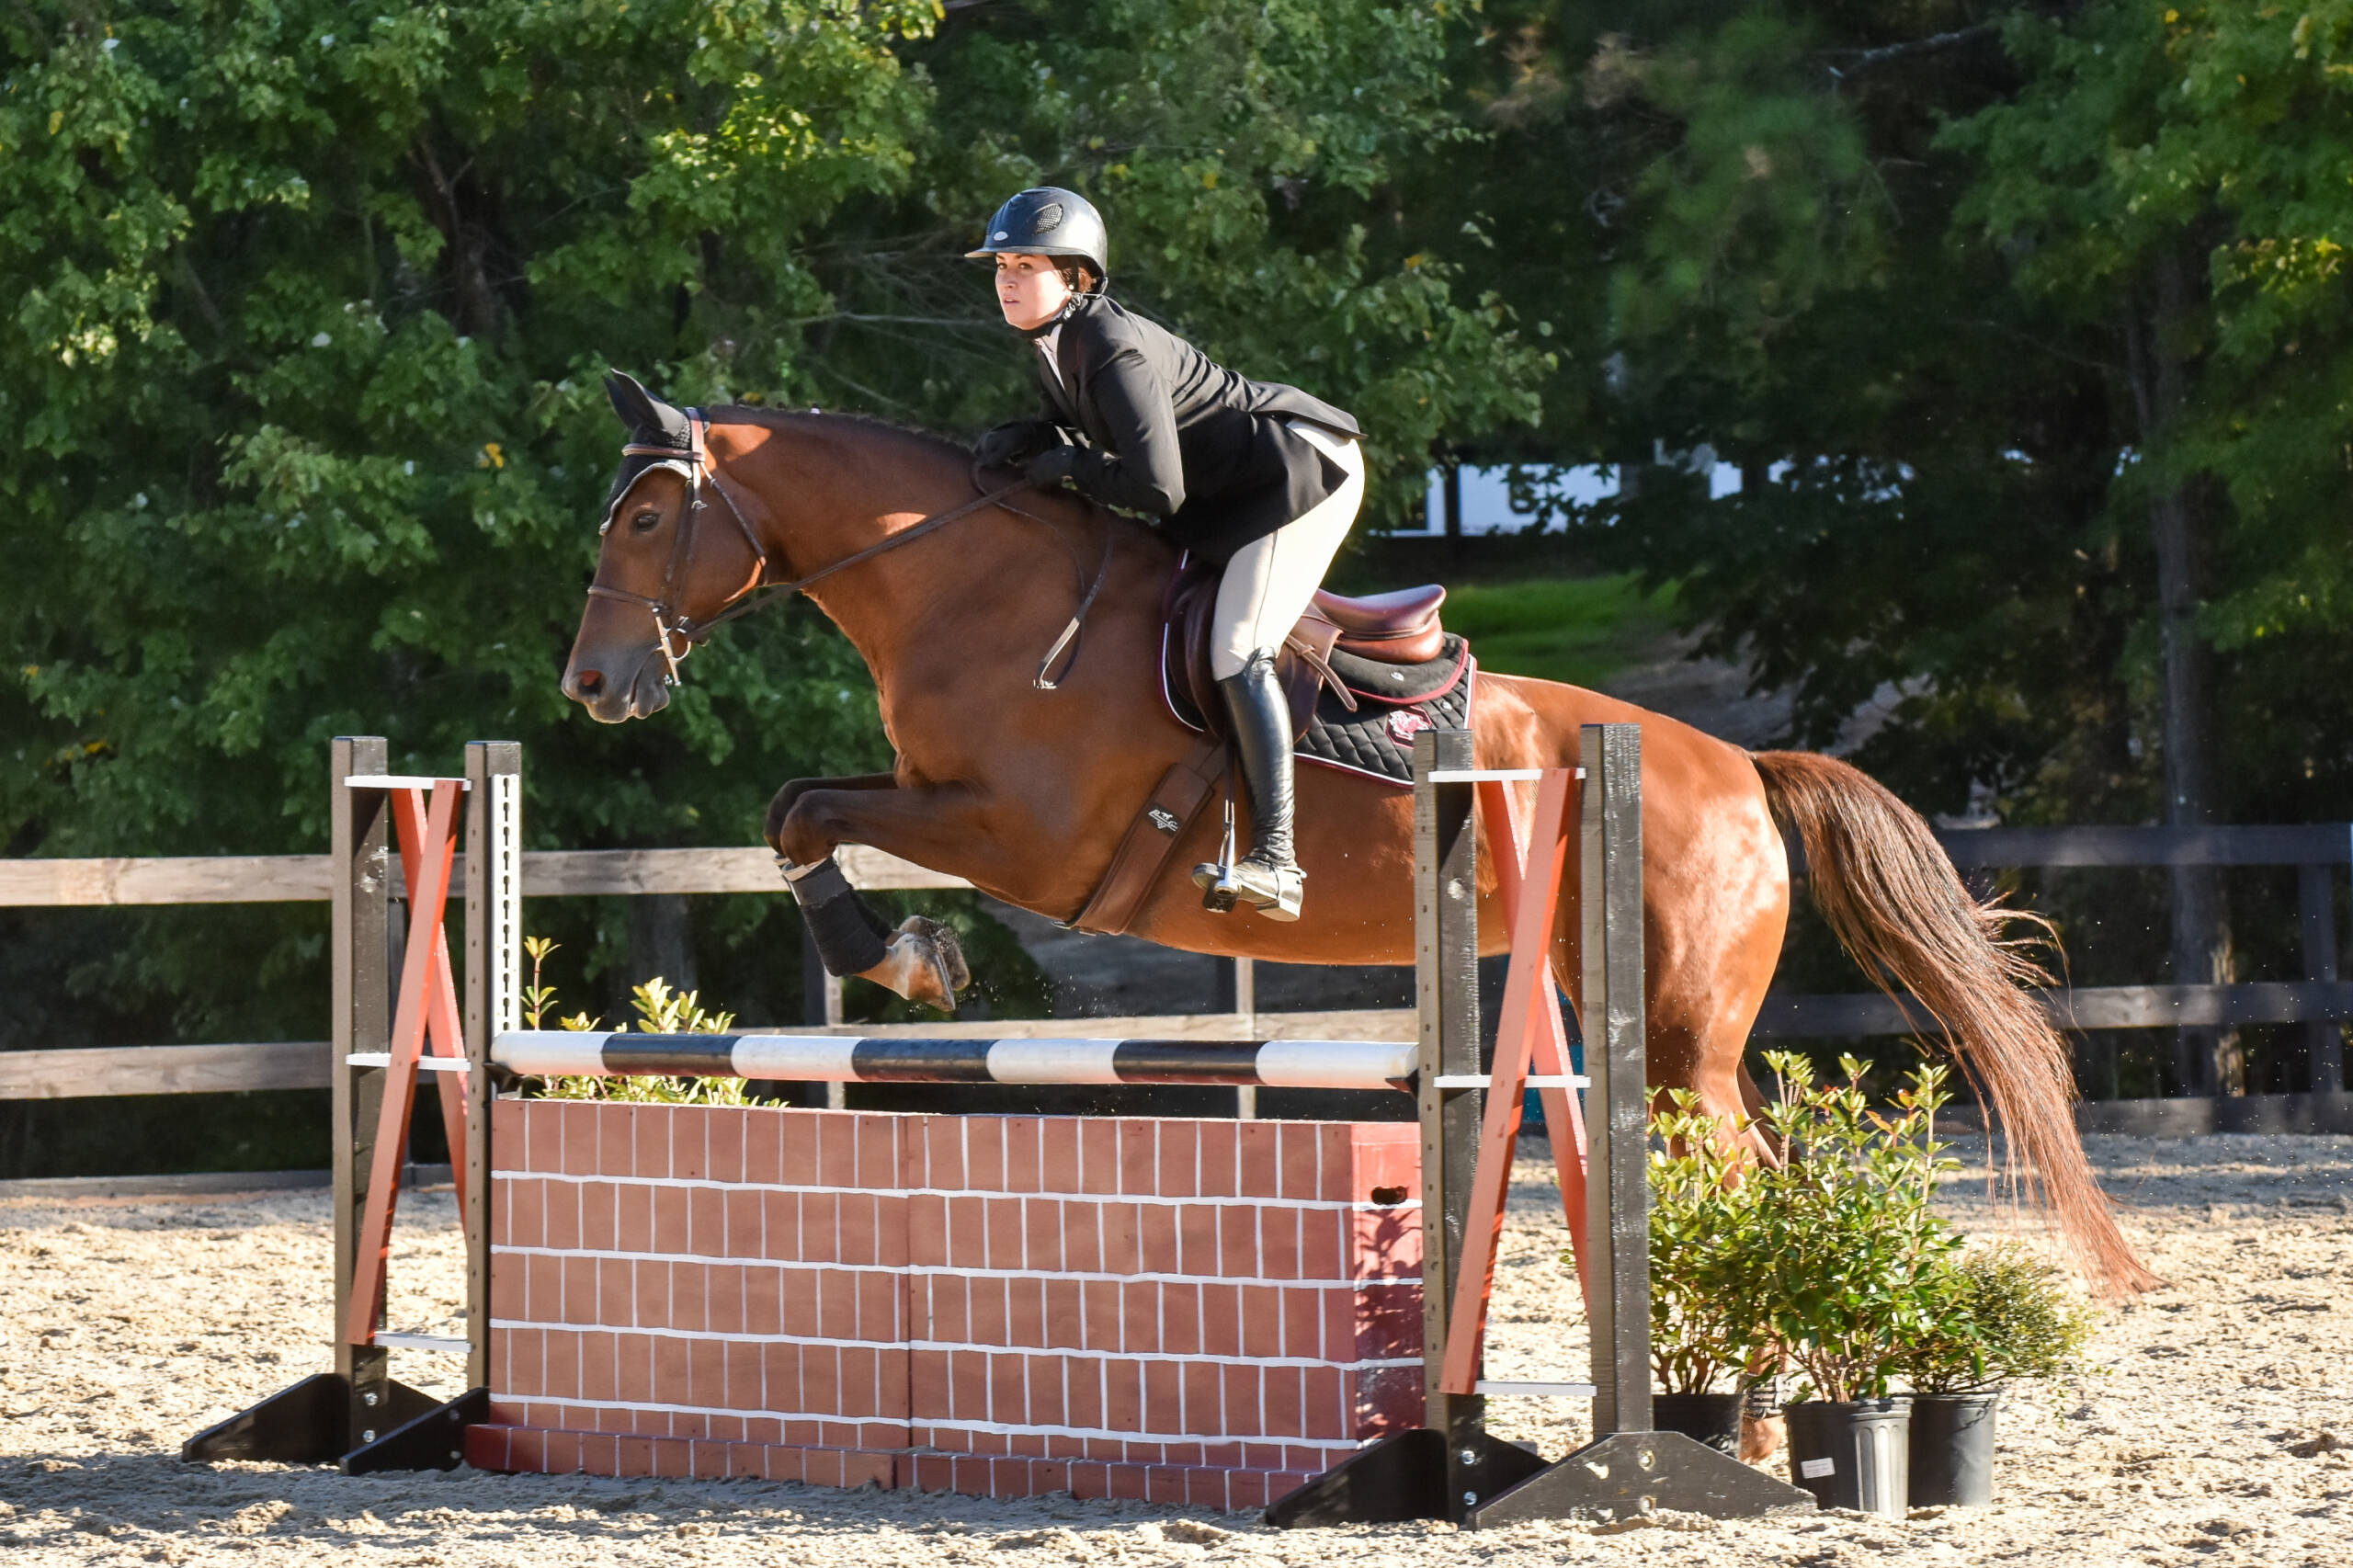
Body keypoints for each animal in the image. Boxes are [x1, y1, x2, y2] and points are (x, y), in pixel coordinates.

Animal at [564, 371, 2154, 1290]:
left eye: (644, 518)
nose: (592, 686)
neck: (968, 582)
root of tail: (1739, 768)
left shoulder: (1023, 836)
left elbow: (804, 807)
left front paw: (901, 957)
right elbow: (795, 807)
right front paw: (902, 951)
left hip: (1681, 1037)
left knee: (1746, 1174)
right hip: (1626, 1013)